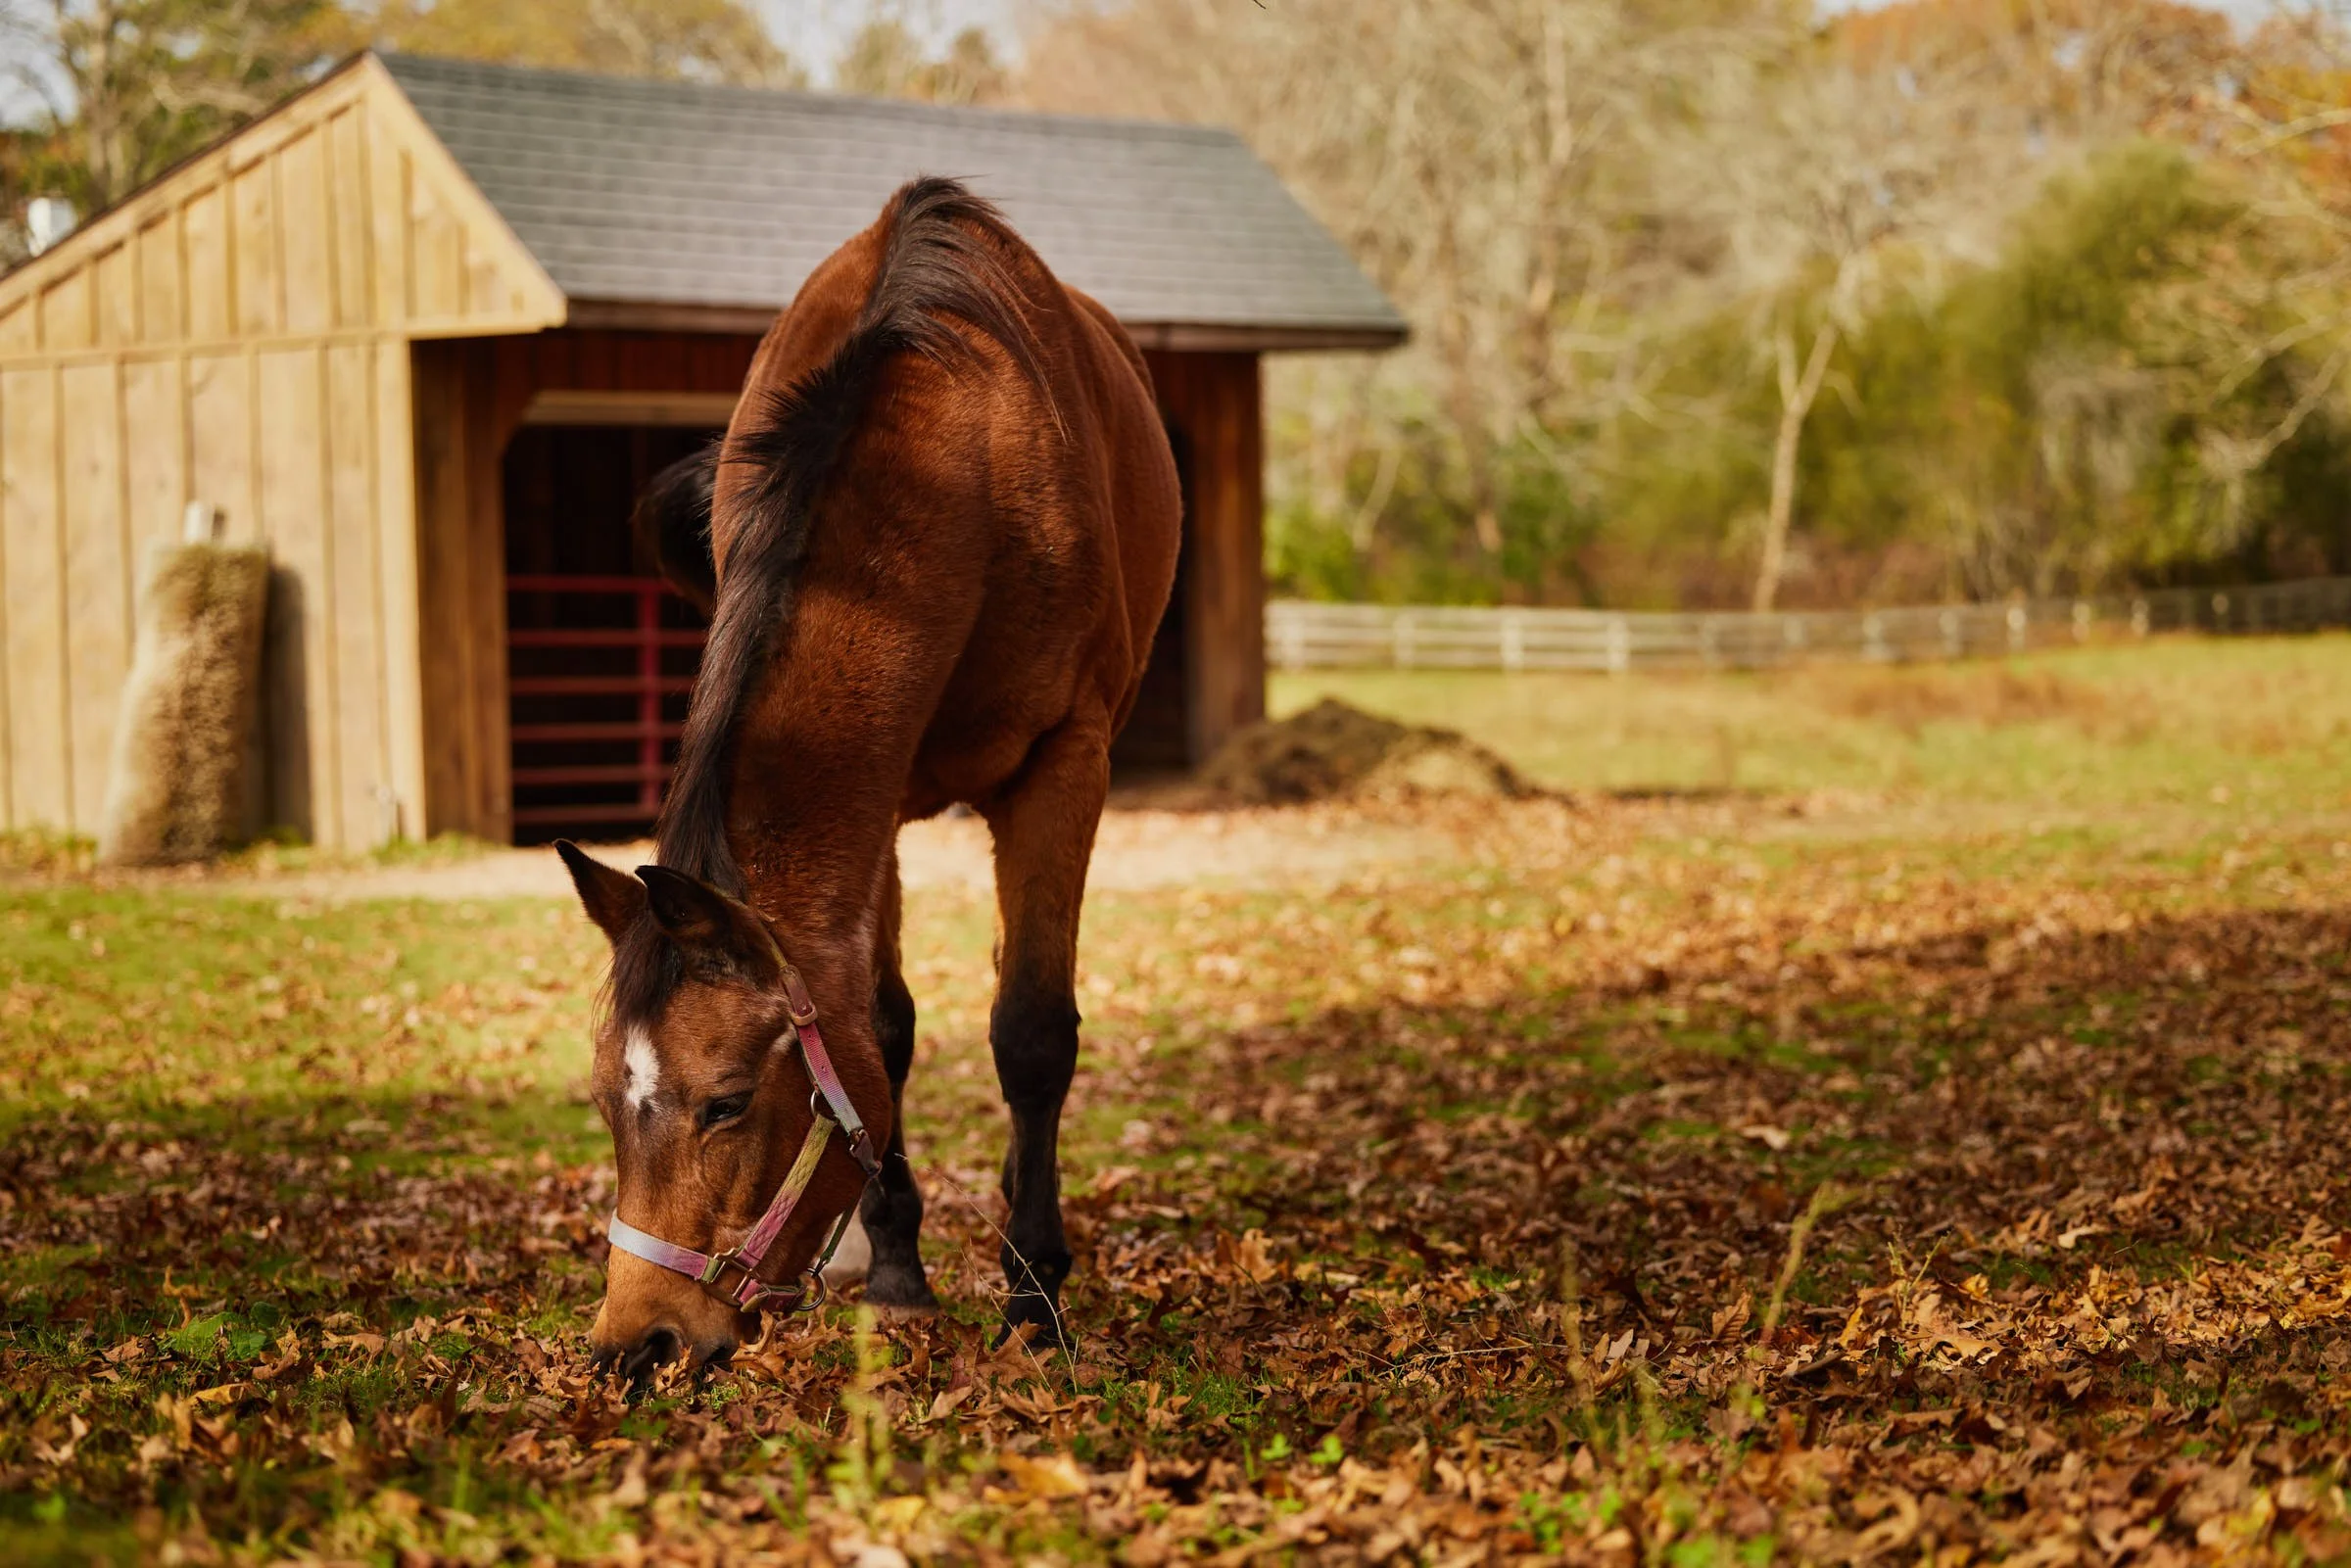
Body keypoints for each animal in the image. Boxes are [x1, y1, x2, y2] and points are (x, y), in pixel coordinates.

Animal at [557, 177, 1181, 1382]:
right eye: (605, 1098)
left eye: (727, 1103)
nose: (637, 1340)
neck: (960, 452)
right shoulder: (875, 799)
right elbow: (880, 1030)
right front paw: (894, 1263)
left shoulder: (1064, 763)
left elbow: (1032, 1030)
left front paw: (1034, 1294)